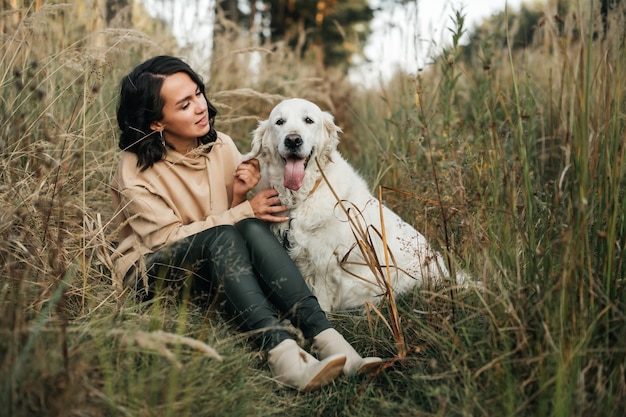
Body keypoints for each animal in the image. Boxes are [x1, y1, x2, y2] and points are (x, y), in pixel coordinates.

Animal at [244, 99, 454, 310]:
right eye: (279, 122)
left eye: (308, 120)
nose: (293, 140)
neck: (299, 199)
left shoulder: (323, 264)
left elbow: (321, 300)